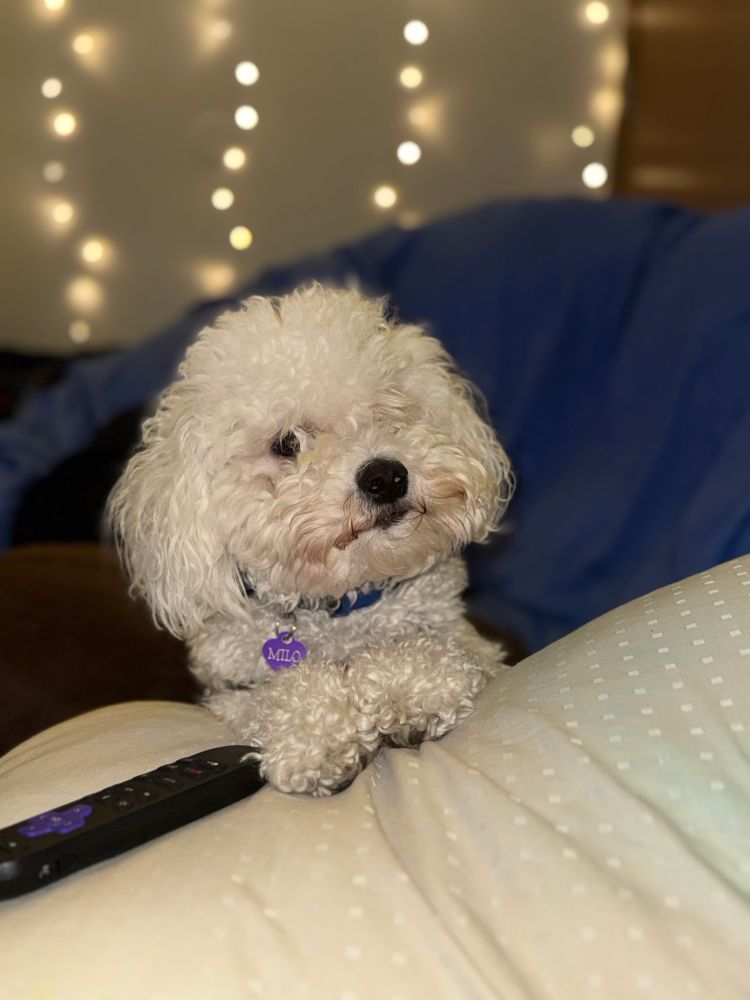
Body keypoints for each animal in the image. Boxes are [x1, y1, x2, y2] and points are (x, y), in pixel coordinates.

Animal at [108, 285, 513, 795]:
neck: (340, 609)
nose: (385, 477)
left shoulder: (467, 642)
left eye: (390, 409)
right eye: (287, 444)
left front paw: (410, 688)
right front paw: (317, 734)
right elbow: (279, 696)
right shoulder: (230, 695)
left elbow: (438, 655)